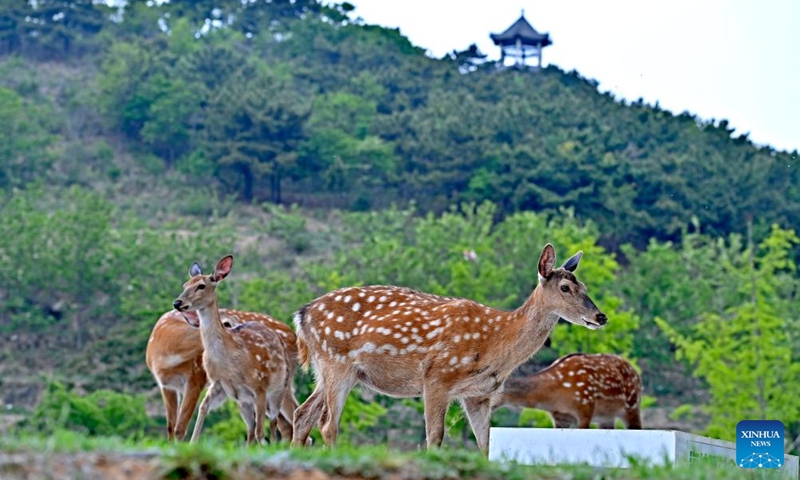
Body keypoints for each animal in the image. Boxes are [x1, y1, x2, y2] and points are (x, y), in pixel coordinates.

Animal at [145, 307, 301, 442]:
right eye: (226, 323)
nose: (250, 333)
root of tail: (294, 336)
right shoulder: (166, 385)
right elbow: (171, 428)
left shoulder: (196, 378)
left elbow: (179, 428)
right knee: (285, 424)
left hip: (279, 381)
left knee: (294, 412)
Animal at [171, 255, 295, 445]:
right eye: (185, 285)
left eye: (201, 286)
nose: (177, 302)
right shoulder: (219, 383)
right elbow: (203, 407)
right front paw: (192, 442)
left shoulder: (259, 385)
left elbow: (261, 432)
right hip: (245, 401)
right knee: (256, 428)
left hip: (278, 389)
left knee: (275, 424)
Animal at [290, 243, 607, 453]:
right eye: (565, 288)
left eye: (584, 286)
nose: (600, 316)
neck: (494, 345)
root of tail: (302, 315)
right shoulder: (436, 376)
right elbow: (435, 435)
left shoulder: (479, 394)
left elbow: (485, 443)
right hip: (337, 362)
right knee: (327, 424)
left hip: (330, 370)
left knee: (303, 415)